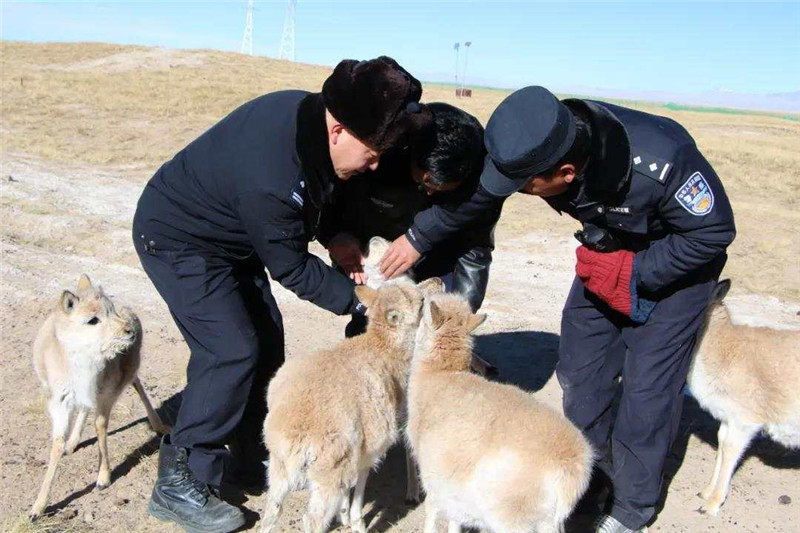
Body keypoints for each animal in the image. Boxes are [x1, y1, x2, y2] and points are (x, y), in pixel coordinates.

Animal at [29, 276, 169, 516]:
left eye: (110, 310)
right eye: (92, 320)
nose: (129, 331)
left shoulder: (106, 394)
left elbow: (100, 426)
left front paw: (103, 478)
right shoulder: (60, 401)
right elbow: (57, 444)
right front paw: (38, 507)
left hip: (128, 372)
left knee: (137, 383)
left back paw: (159, 425)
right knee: (85, 408)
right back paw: (73, 443)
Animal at [260, 278, 444, 532]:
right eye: (421, 301)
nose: (439, 280)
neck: (382, 350)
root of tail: (297, 431)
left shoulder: (357, 453)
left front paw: (345, 516)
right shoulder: (370, 448)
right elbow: (360, 485)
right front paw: (357, 523)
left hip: (279, 465)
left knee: (271, 512)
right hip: (328, 471)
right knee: (311, 520)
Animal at [406, 294, 592, 528]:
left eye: (423, 313)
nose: (422, 300)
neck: (440, 373)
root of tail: (571, 468)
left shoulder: (432, 474)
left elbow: (432, 514)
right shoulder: (451, 482)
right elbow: (454, 520)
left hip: (511, 516)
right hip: (548, 522)